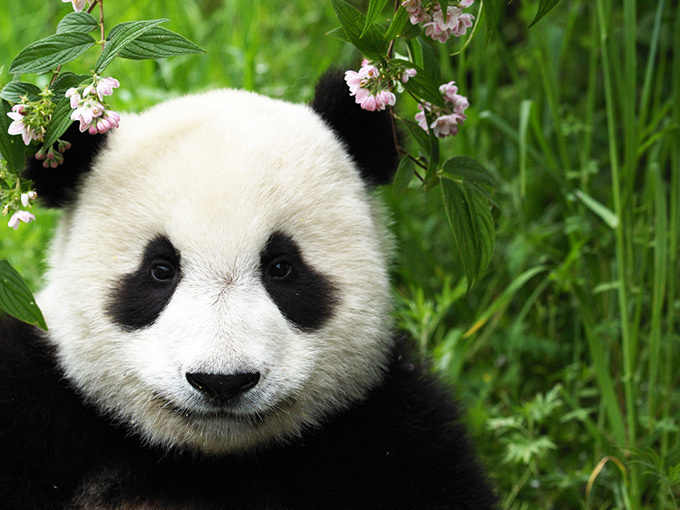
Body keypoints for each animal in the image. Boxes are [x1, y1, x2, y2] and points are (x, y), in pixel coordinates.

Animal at [0, 72, 494, 510]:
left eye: (281, 268)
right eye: (160, 270)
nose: (222, 381)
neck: (213, 462)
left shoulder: (391, 429)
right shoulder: (39, 405)